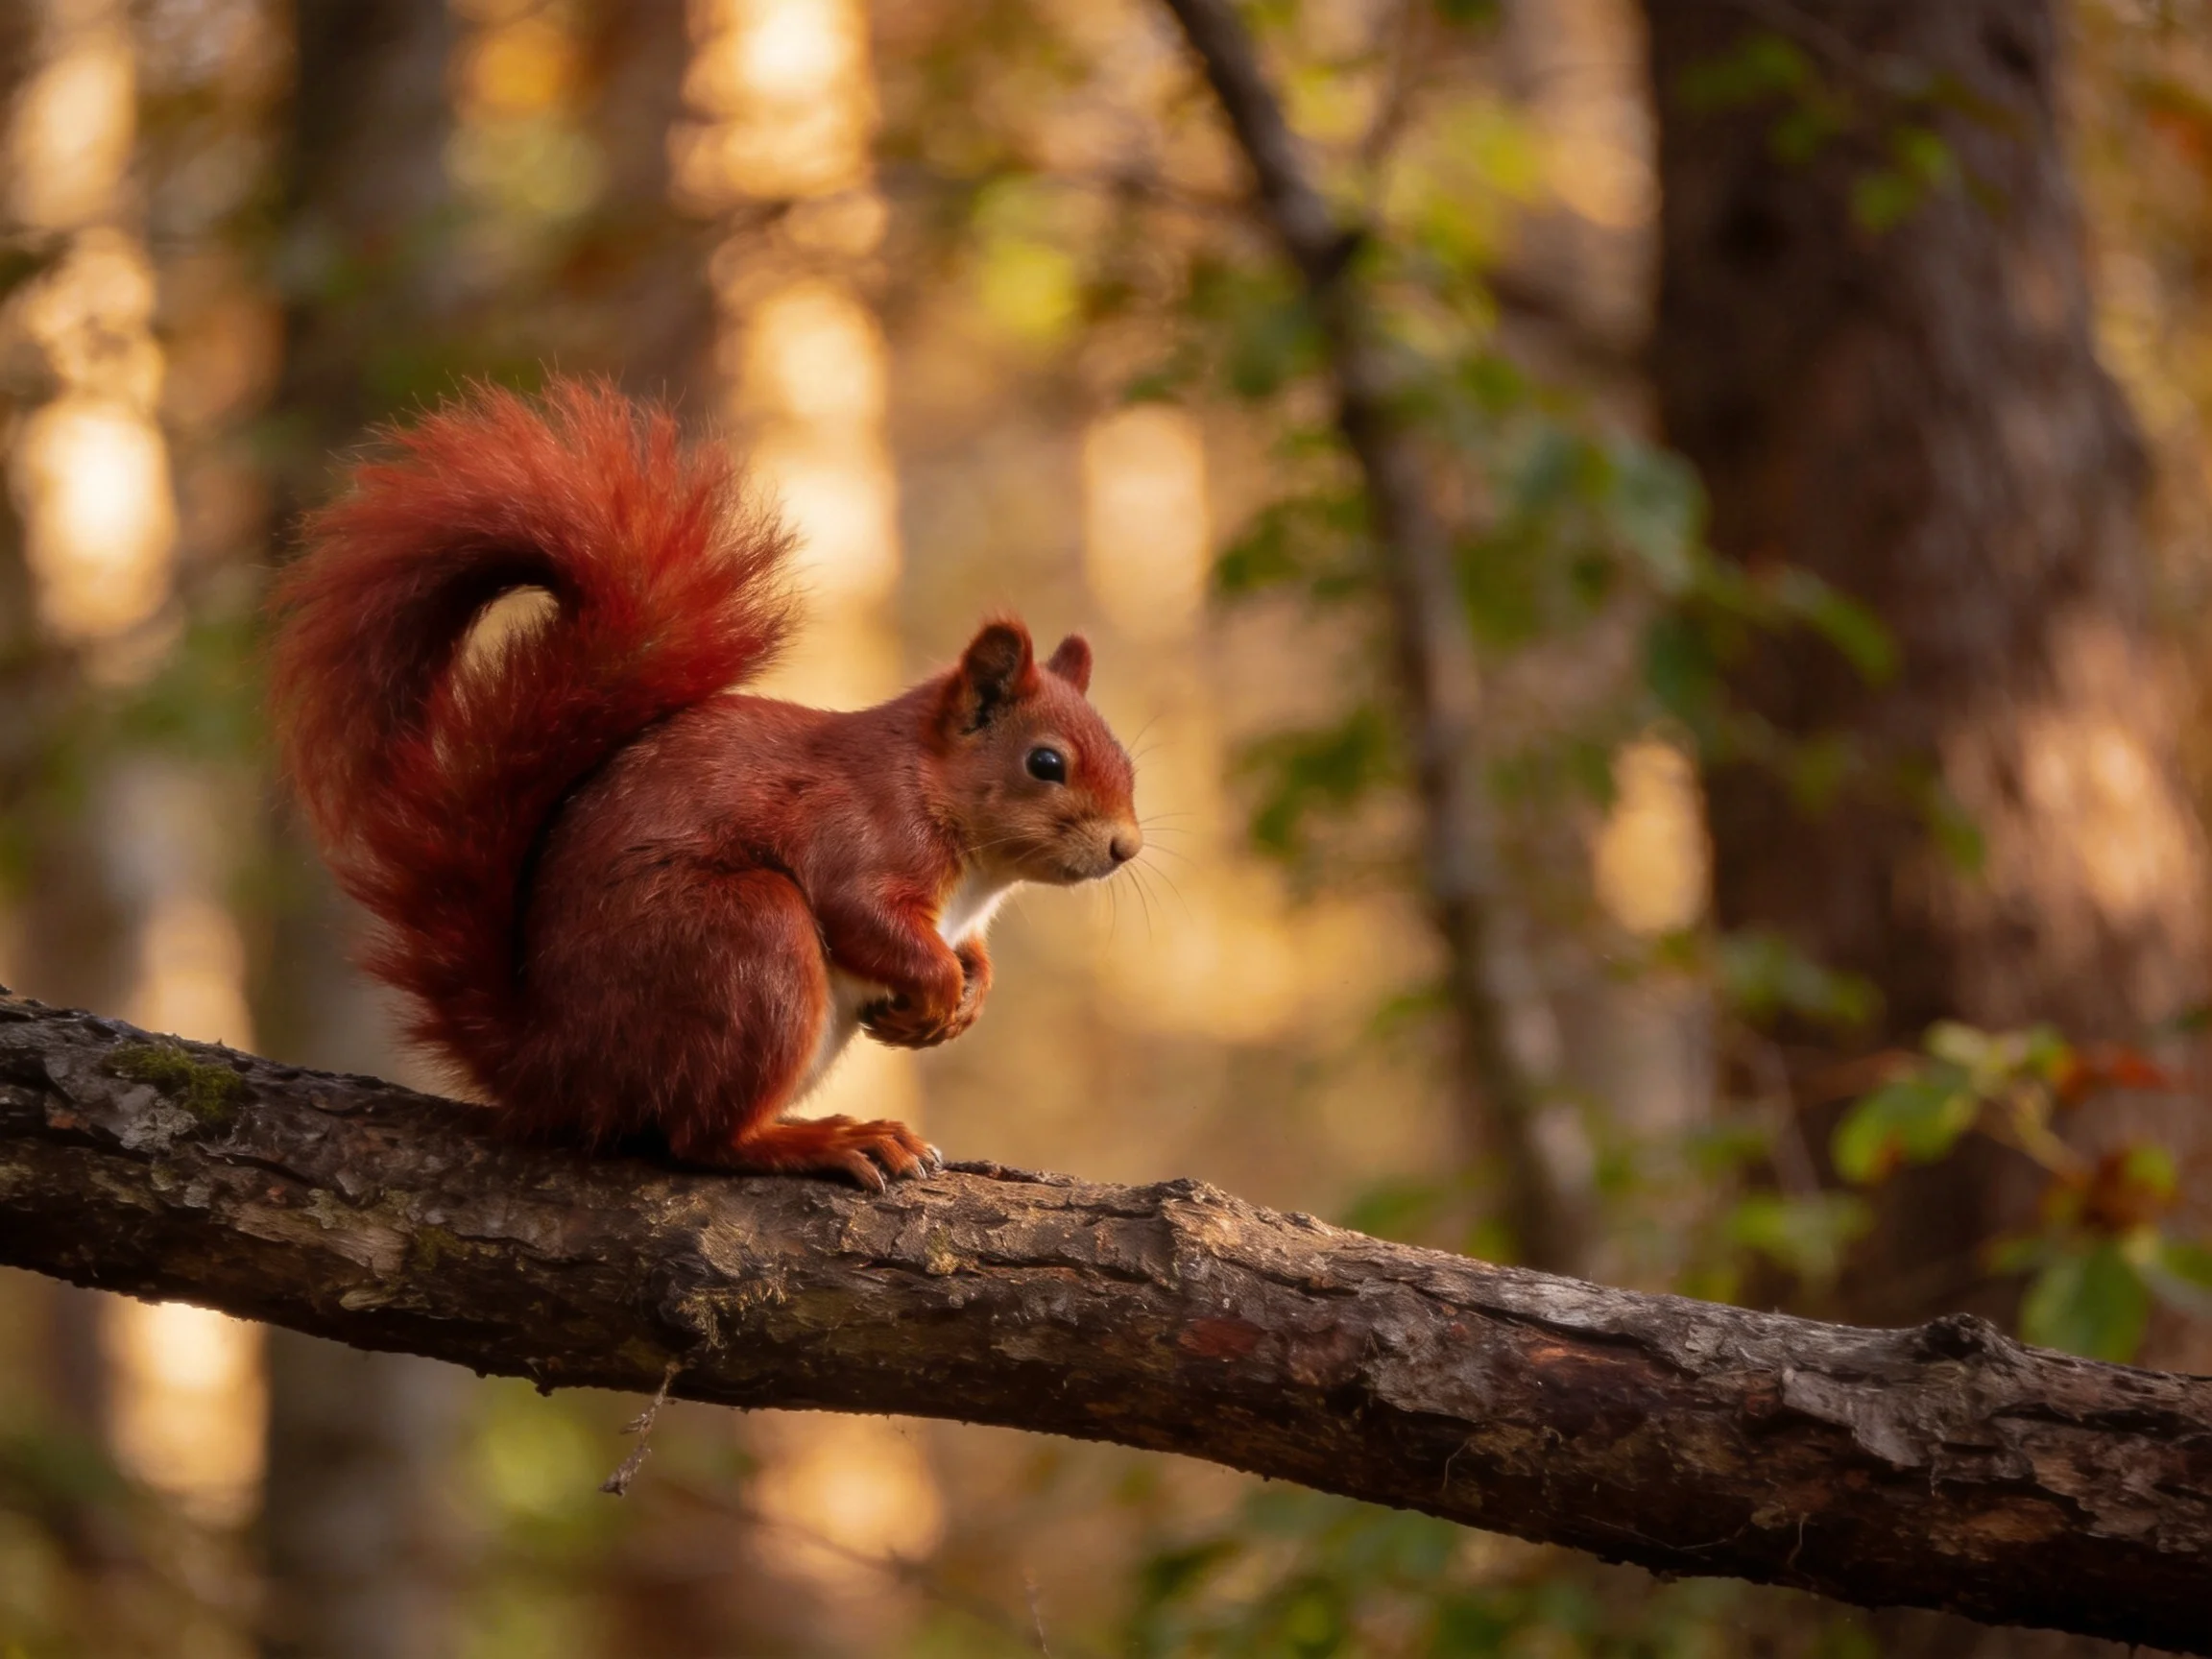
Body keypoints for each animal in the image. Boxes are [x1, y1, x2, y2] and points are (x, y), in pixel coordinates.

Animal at [268, 377, 1141, 1190]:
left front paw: (967, 996)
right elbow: (864, 914)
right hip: (746, 946)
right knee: (700, 1136)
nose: (1125, 847)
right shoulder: (859, 833)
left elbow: (968, 954)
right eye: (1046, 764)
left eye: (1129, 763)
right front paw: (936, 990)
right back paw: (824, 1140)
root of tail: (558, 1067)